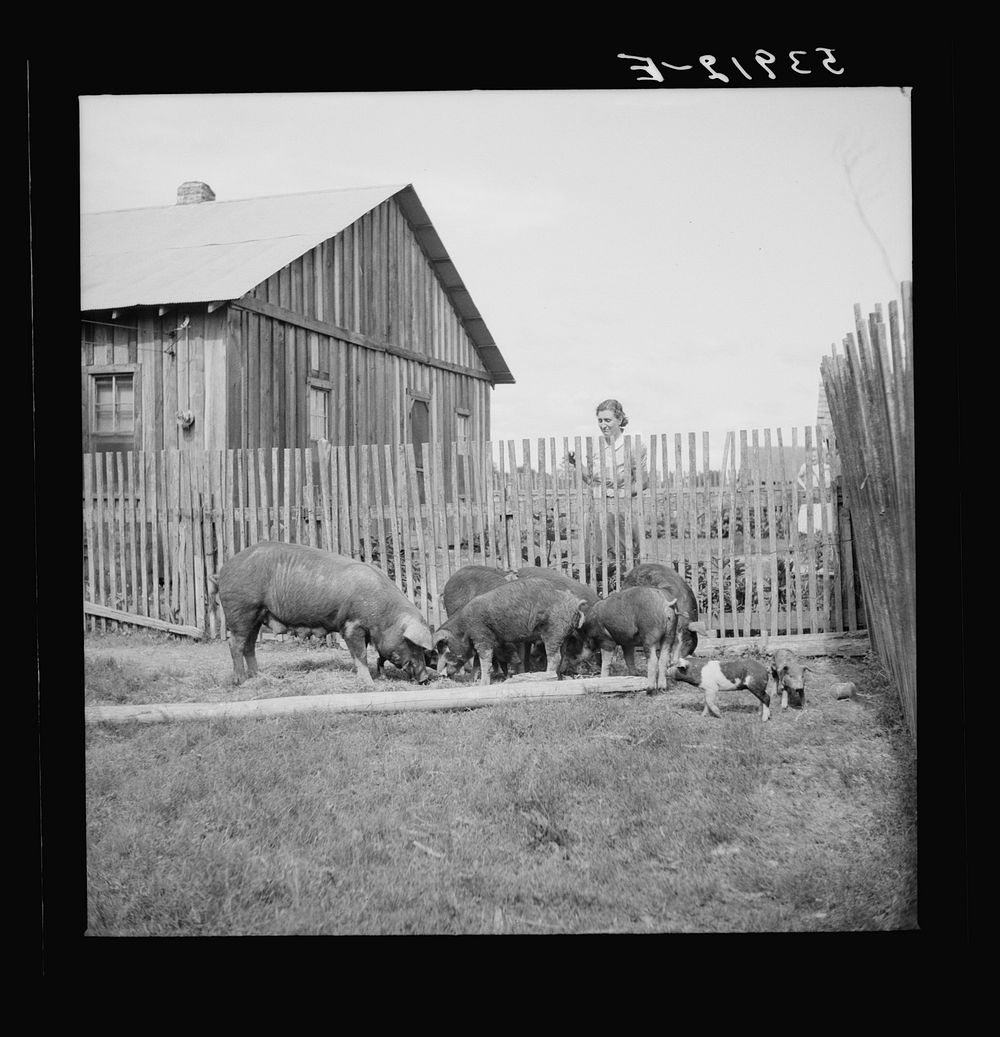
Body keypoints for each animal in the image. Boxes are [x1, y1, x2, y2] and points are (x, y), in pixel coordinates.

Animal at [214, 543, 433, 688]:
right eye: (412, 644)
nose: (425, 679)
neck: (385, 616)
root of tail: (224, 568)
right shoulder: (351, 625)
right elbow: (360, 654)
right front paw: (369, 684)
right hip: (241, 610)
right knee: (235, 644)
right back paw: (241, 681)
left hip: (257, 616)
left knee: (249, 645)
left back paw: (258, 677)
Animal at [435, 580, 589, 684]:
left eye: (446, 650)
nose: (443, 674)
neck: (464, 628)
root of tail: (575, 605)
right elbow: (478, 663)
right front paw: (473, 681)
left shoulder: (482, 636)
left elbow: (485, 662)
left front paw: (482, 684)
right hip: (564, 635)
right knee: (562, 656)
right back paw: (558, 677)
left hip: (554, 632)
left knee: (554, 657)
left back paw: (546, 676)